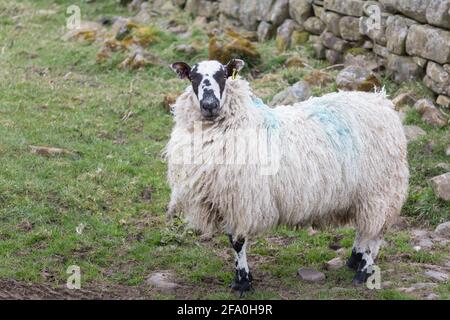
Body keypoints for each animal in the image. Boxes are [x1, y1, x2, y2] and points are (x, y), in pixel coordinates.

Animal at [166, 59, 412, 296]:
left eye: (223, 75)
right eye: (193, 77)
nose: (209, 105)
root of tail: (381, 101)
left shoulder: (243, 200)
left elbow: (238, 242)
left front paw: (243, 282)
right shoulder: (227, 199)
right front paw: (241, 279)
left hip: (380, 189)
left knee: (376, 231)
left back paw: (364, 271)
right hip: (364, 193)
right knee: (365, 228)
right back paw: (355, 259)